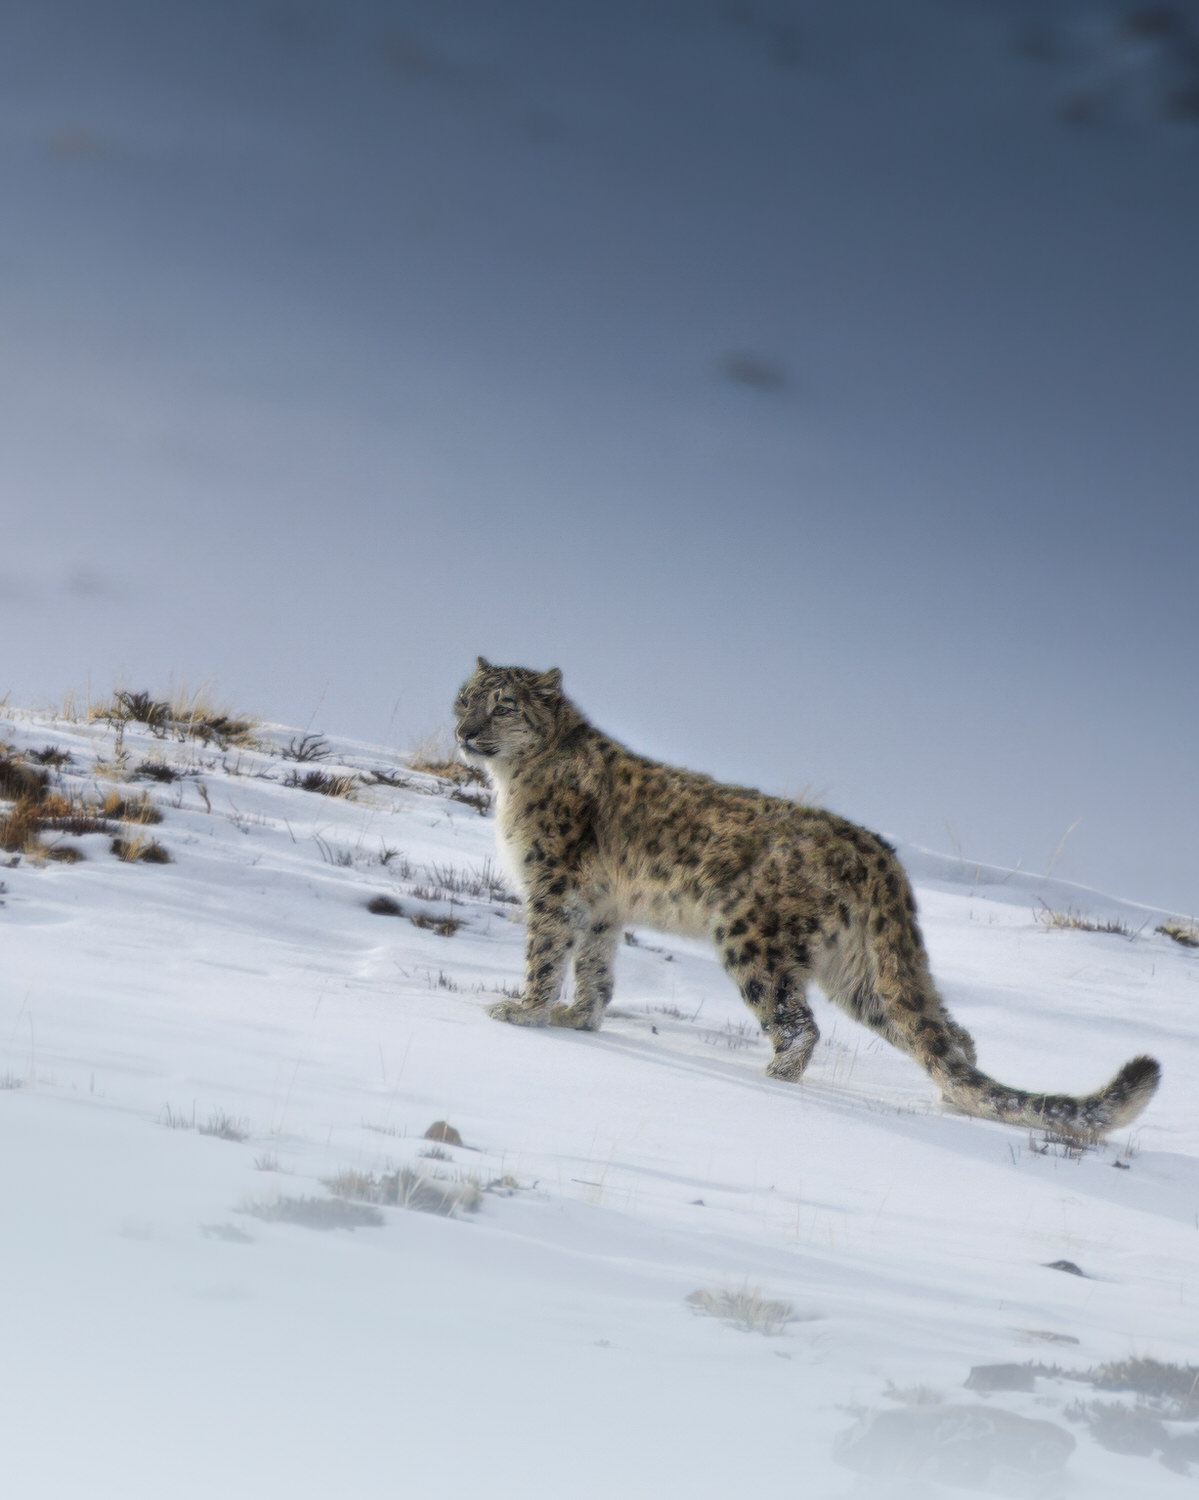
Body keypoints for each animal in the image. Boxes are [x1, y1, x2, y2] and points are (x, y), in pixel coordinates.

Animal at [453, 659, 1160, 1139]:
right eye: (464, 698)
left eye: (504, 705)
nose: (463, 731)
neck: (513, 779)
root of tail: (880, 853)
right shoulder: (601, 909)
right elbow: (596, 969)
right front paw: (578, 1018)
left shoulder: (553, 888)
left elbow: (545, 954)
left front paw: (522, 1011)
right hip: (861, 973)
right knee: (945, 1032)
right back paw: (951, 1098)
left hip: (754, 940)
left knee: (799, 1026)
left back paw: (771, 1081)